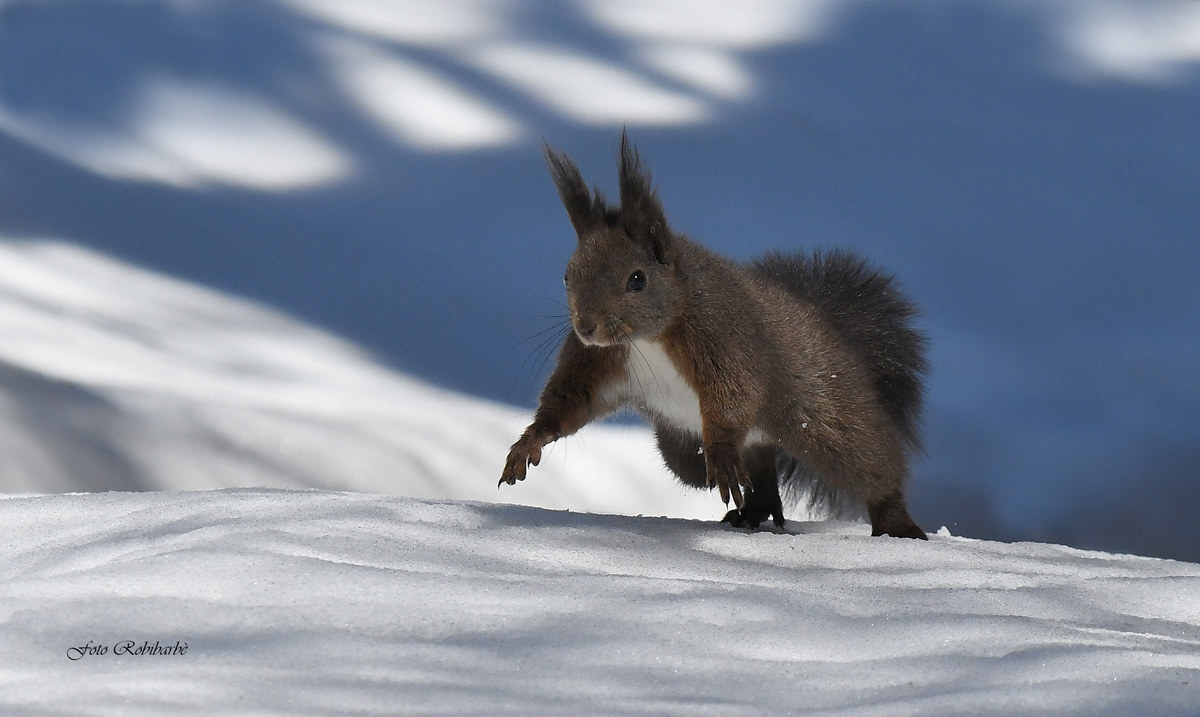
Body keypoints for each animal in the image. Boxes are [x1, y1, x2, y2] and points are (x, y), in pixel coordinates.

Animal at [500, 133, 928, 539]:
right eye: (567, 275)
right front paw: (528, 443)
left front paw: (721, 455)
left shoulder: (722, 337)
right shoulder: (599, 361)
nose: (586, 327)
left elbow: (734, 394)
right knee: (753, 462)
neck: (648, 338)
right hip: (682, 447)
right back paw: (754, 510)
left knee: (869, 461)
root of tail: (824, 322)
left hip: (824, 408)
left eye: (637, 279)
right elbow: (570, 402)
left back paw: (897, 524)